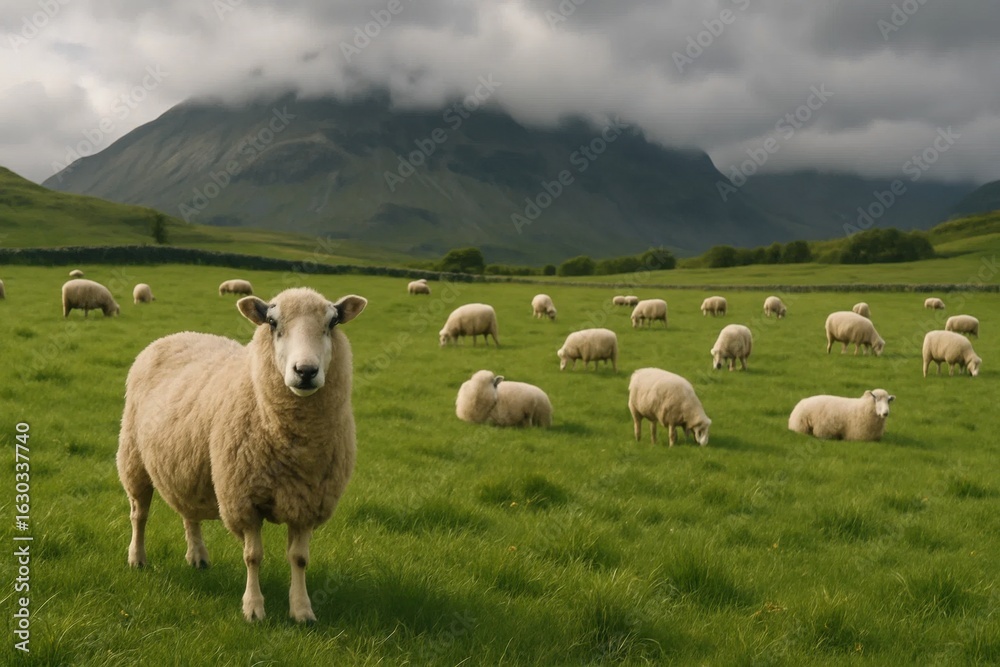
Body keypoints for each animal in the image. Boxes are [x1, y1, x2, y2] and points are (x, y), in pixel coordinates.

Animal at [116, 287, 367, 623]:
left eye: (333, 322)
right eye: (272, 323)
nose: (305, 371)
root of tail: (177, 334)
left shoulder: (306, 502)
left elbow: (300, 558)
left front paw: (302, 610)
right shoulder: (243, 498)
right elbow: (253, 556)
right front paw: (253, 608)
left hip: (185, 464)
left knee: (189, 514)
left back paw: (197, 557)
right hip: (133, 458)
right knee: (139, 514)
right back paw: (137, 557)